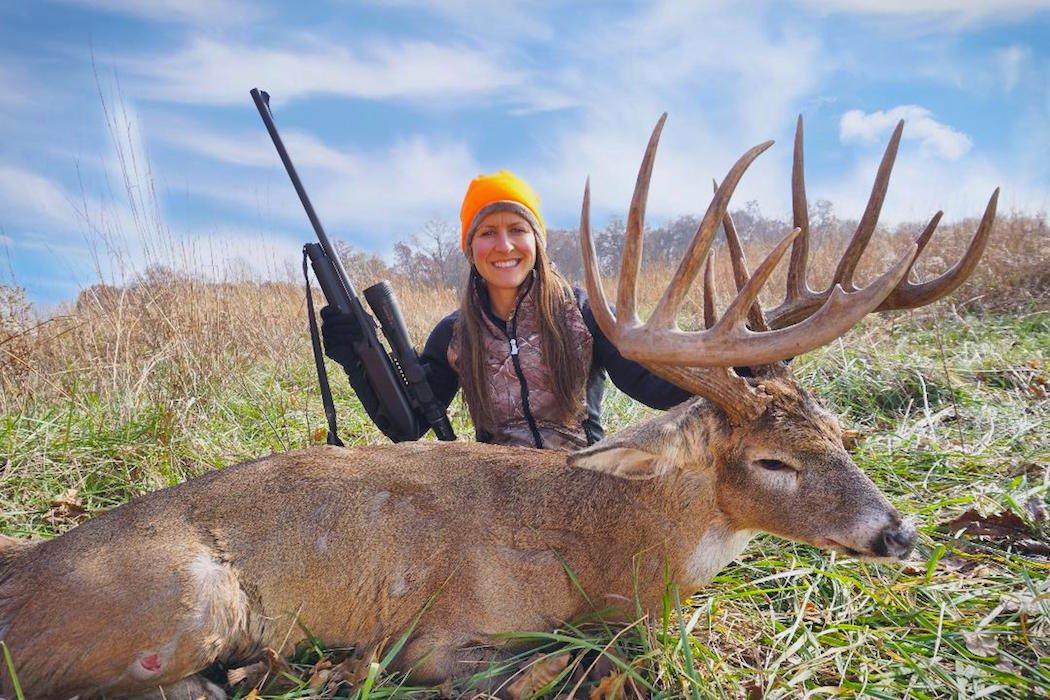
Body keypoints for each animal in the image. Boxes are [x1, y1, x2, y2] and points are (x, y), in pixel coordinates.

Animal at [0, 115, 996, 699]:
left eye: (841, 434)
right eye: (771, 462)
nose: (901, 533)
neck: (608, 547)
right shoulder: (443, 631)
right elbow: (558, 658)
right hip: (180, 598)